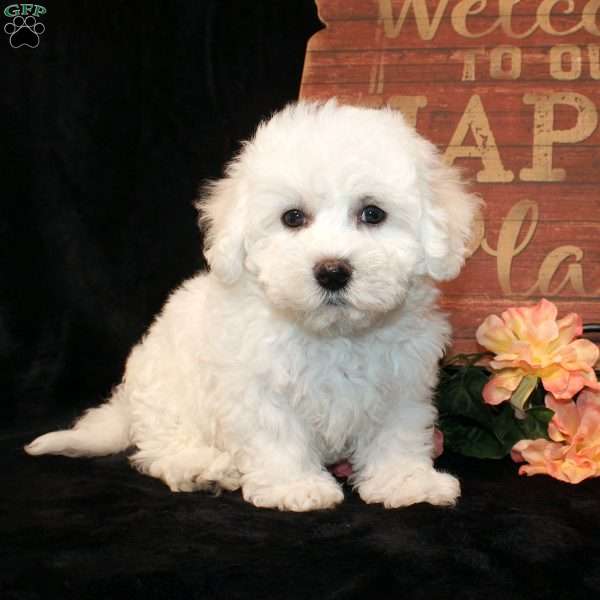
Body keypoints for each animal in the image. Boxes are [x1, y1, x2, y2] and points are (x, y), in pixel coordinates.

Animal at [25, 99, 478, 510]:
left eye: (373, 213)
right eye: (292, 217)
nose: (332, 271)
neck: (334, 335)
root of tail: (127, 403)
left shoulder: (402, 386)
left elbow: (396, 435)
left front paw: (406, 482)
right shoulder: (258, 385)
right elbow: (277, 435)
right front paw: (296, 487)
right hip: (167, 396)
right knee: (161, 448)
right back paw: (200, 469)